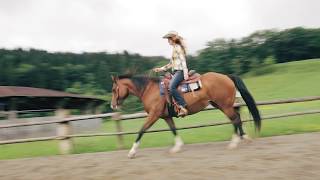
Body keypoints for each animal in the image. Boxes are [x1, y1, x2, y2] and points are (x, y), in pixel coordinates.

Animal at [111, 71, 262, 158]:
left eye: (113, 89)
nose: (112, 105)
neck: (149, 90)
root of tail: (226, 76)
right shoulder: (166, 116)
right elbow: (173, 129)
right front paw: (177, 147)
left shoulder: (154, 115)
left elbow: (141, 130)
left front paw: (132, 152)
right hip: (221, 105)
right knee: (236, 118)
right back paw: (244, 137)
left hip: (225, 105)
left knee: (235, 119)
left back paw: (234, 143)